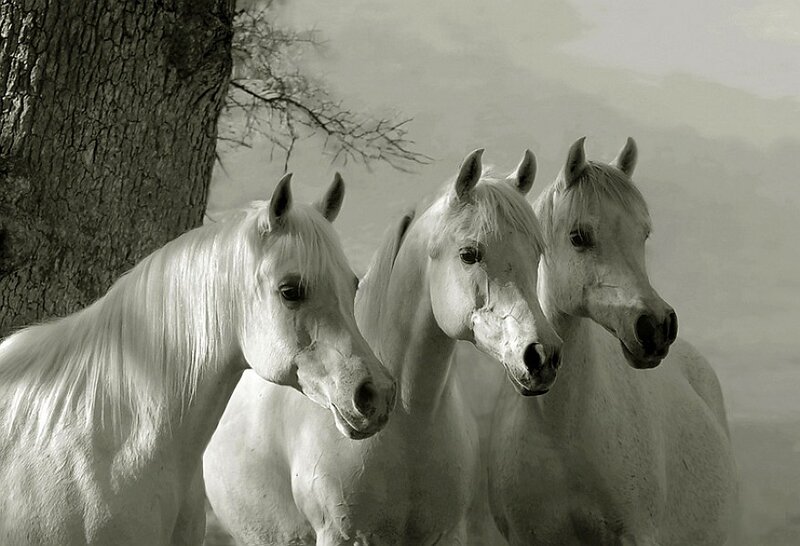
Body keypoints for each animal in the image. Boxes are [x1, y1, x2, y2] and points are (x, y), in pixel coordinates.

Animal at [202, 149, 563, 545]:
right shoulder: (340, 535)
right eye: (470, 254)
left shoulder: (448, 533)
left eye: (536, 251)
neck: (411, 423)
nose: (541, 356)